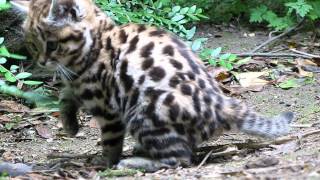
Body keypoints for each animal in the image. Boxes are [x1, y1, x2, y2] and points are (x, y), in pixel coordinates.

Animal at [11, 0, 292, 172]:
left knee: (179, 158)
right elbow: (65, 97)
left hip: (143, 113)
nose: (42, 61)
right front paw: (69, 124)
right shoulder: (76, 85)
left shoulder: (108, 110)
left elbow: (110, 142)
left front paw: (105, 164)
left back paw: (133, 163)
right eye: (33, 44)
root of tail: (221, 106)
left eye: (52, 44)